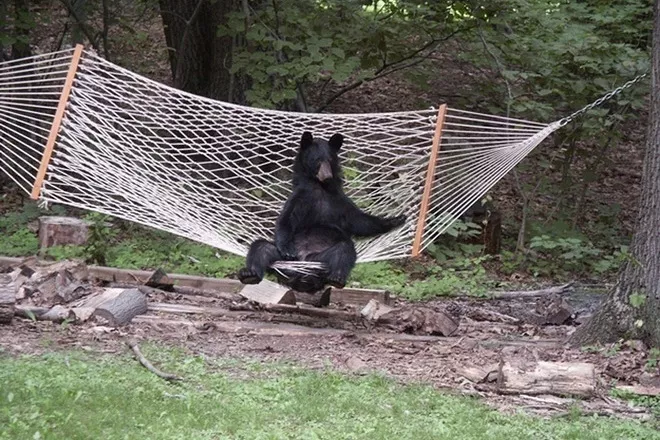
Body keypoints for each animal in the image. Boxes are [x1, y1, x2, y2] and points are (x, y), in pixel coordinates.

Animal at [237, 131, 407, 293]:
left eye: (330, 159)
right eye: (317, 160)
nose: (327, 176)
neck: (321, 188)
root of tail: (301, 272)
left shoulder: (338, 199)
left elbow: (359, 220)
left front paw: (396, 219)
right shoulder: (302, 196)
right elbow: (286, 219)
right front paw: (286, 248)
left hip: (320, 259)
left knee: (343, 250)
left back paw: (336, 278)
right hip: (283, 260)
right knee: (261, 247)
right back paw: (249, 274)